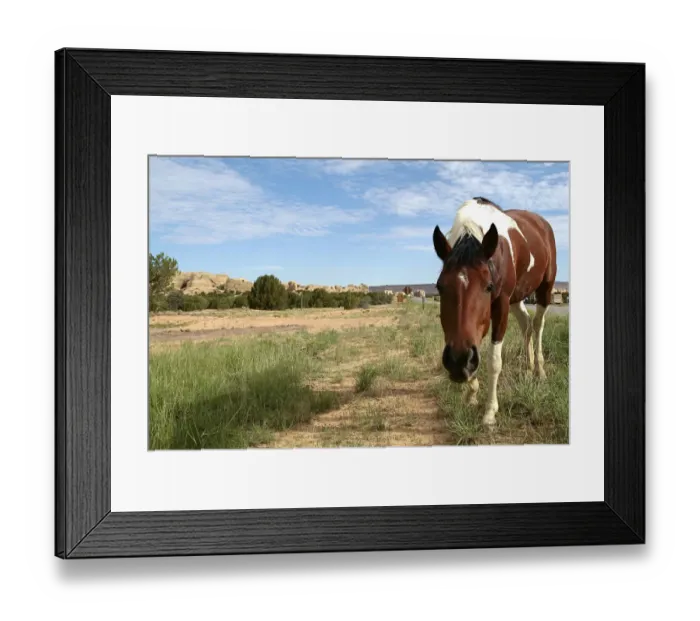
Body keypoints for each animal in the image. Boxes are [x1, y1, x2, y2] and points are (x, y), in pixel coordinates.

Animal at [432, 197, 557, 426]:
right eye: (439, 287)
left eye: (488, 286)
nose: (457, 361)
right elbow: (476, 349)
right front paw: (472, 394)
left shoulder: (501, 304)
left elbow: (494, 361)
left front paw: (490, 411)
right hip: (517, 297)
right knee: (526, 324)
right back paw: (527, 368)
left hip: (545, 288)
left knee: (537, 325)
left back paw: (540, 370)